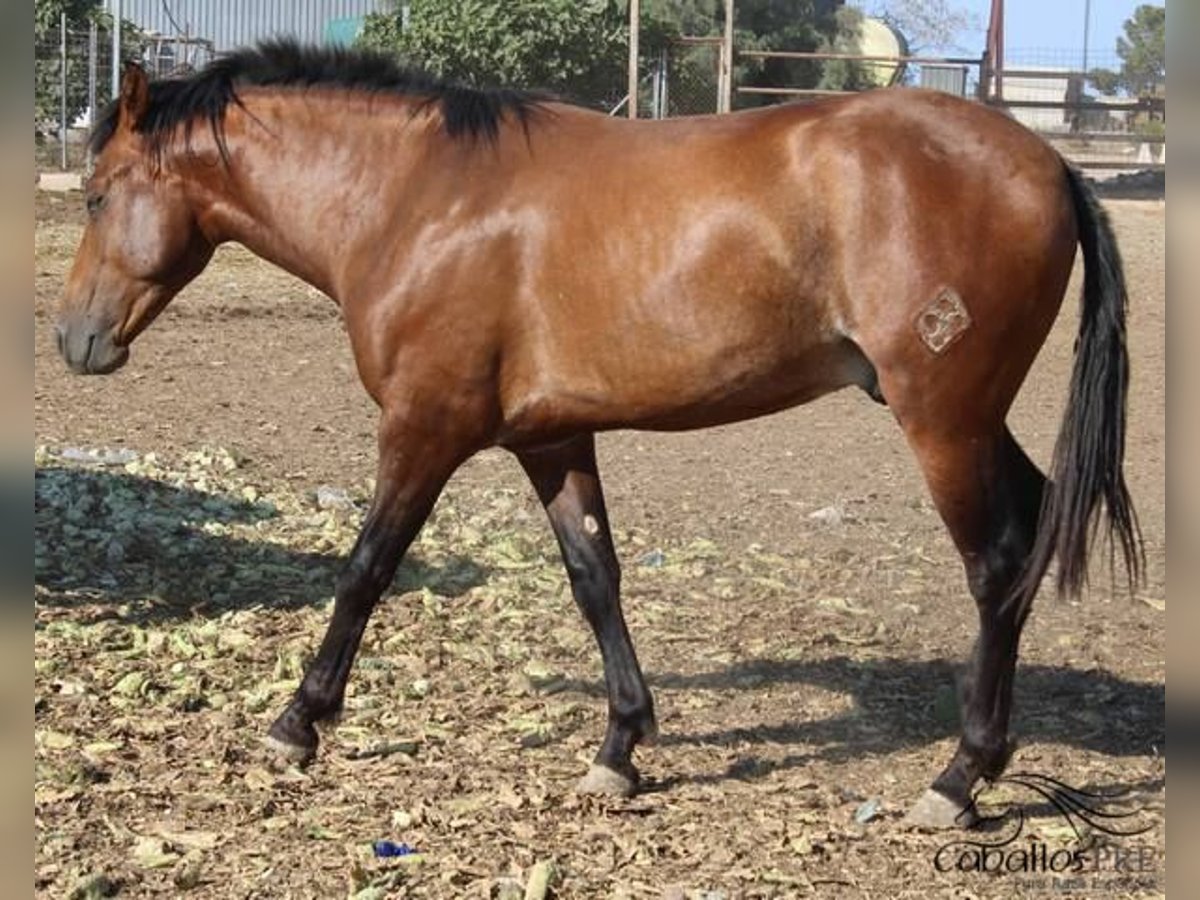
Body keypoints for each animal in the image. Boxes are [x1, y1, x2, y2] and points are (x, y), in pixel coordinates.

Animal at [58, 44, 1142, 830]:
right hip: (974, 421)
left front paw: (297, 724)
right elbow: (595, 578)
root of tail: (1047, 162)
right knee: (1032, 534)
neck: (419, 199)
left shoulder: (424, 428)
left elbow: (367, 569)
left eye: (98, 194)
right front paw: (620, 747)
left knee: (997, 563)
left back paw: (959, 779)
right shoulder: (551, 439)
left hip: (944, 421)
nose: (75, 340)